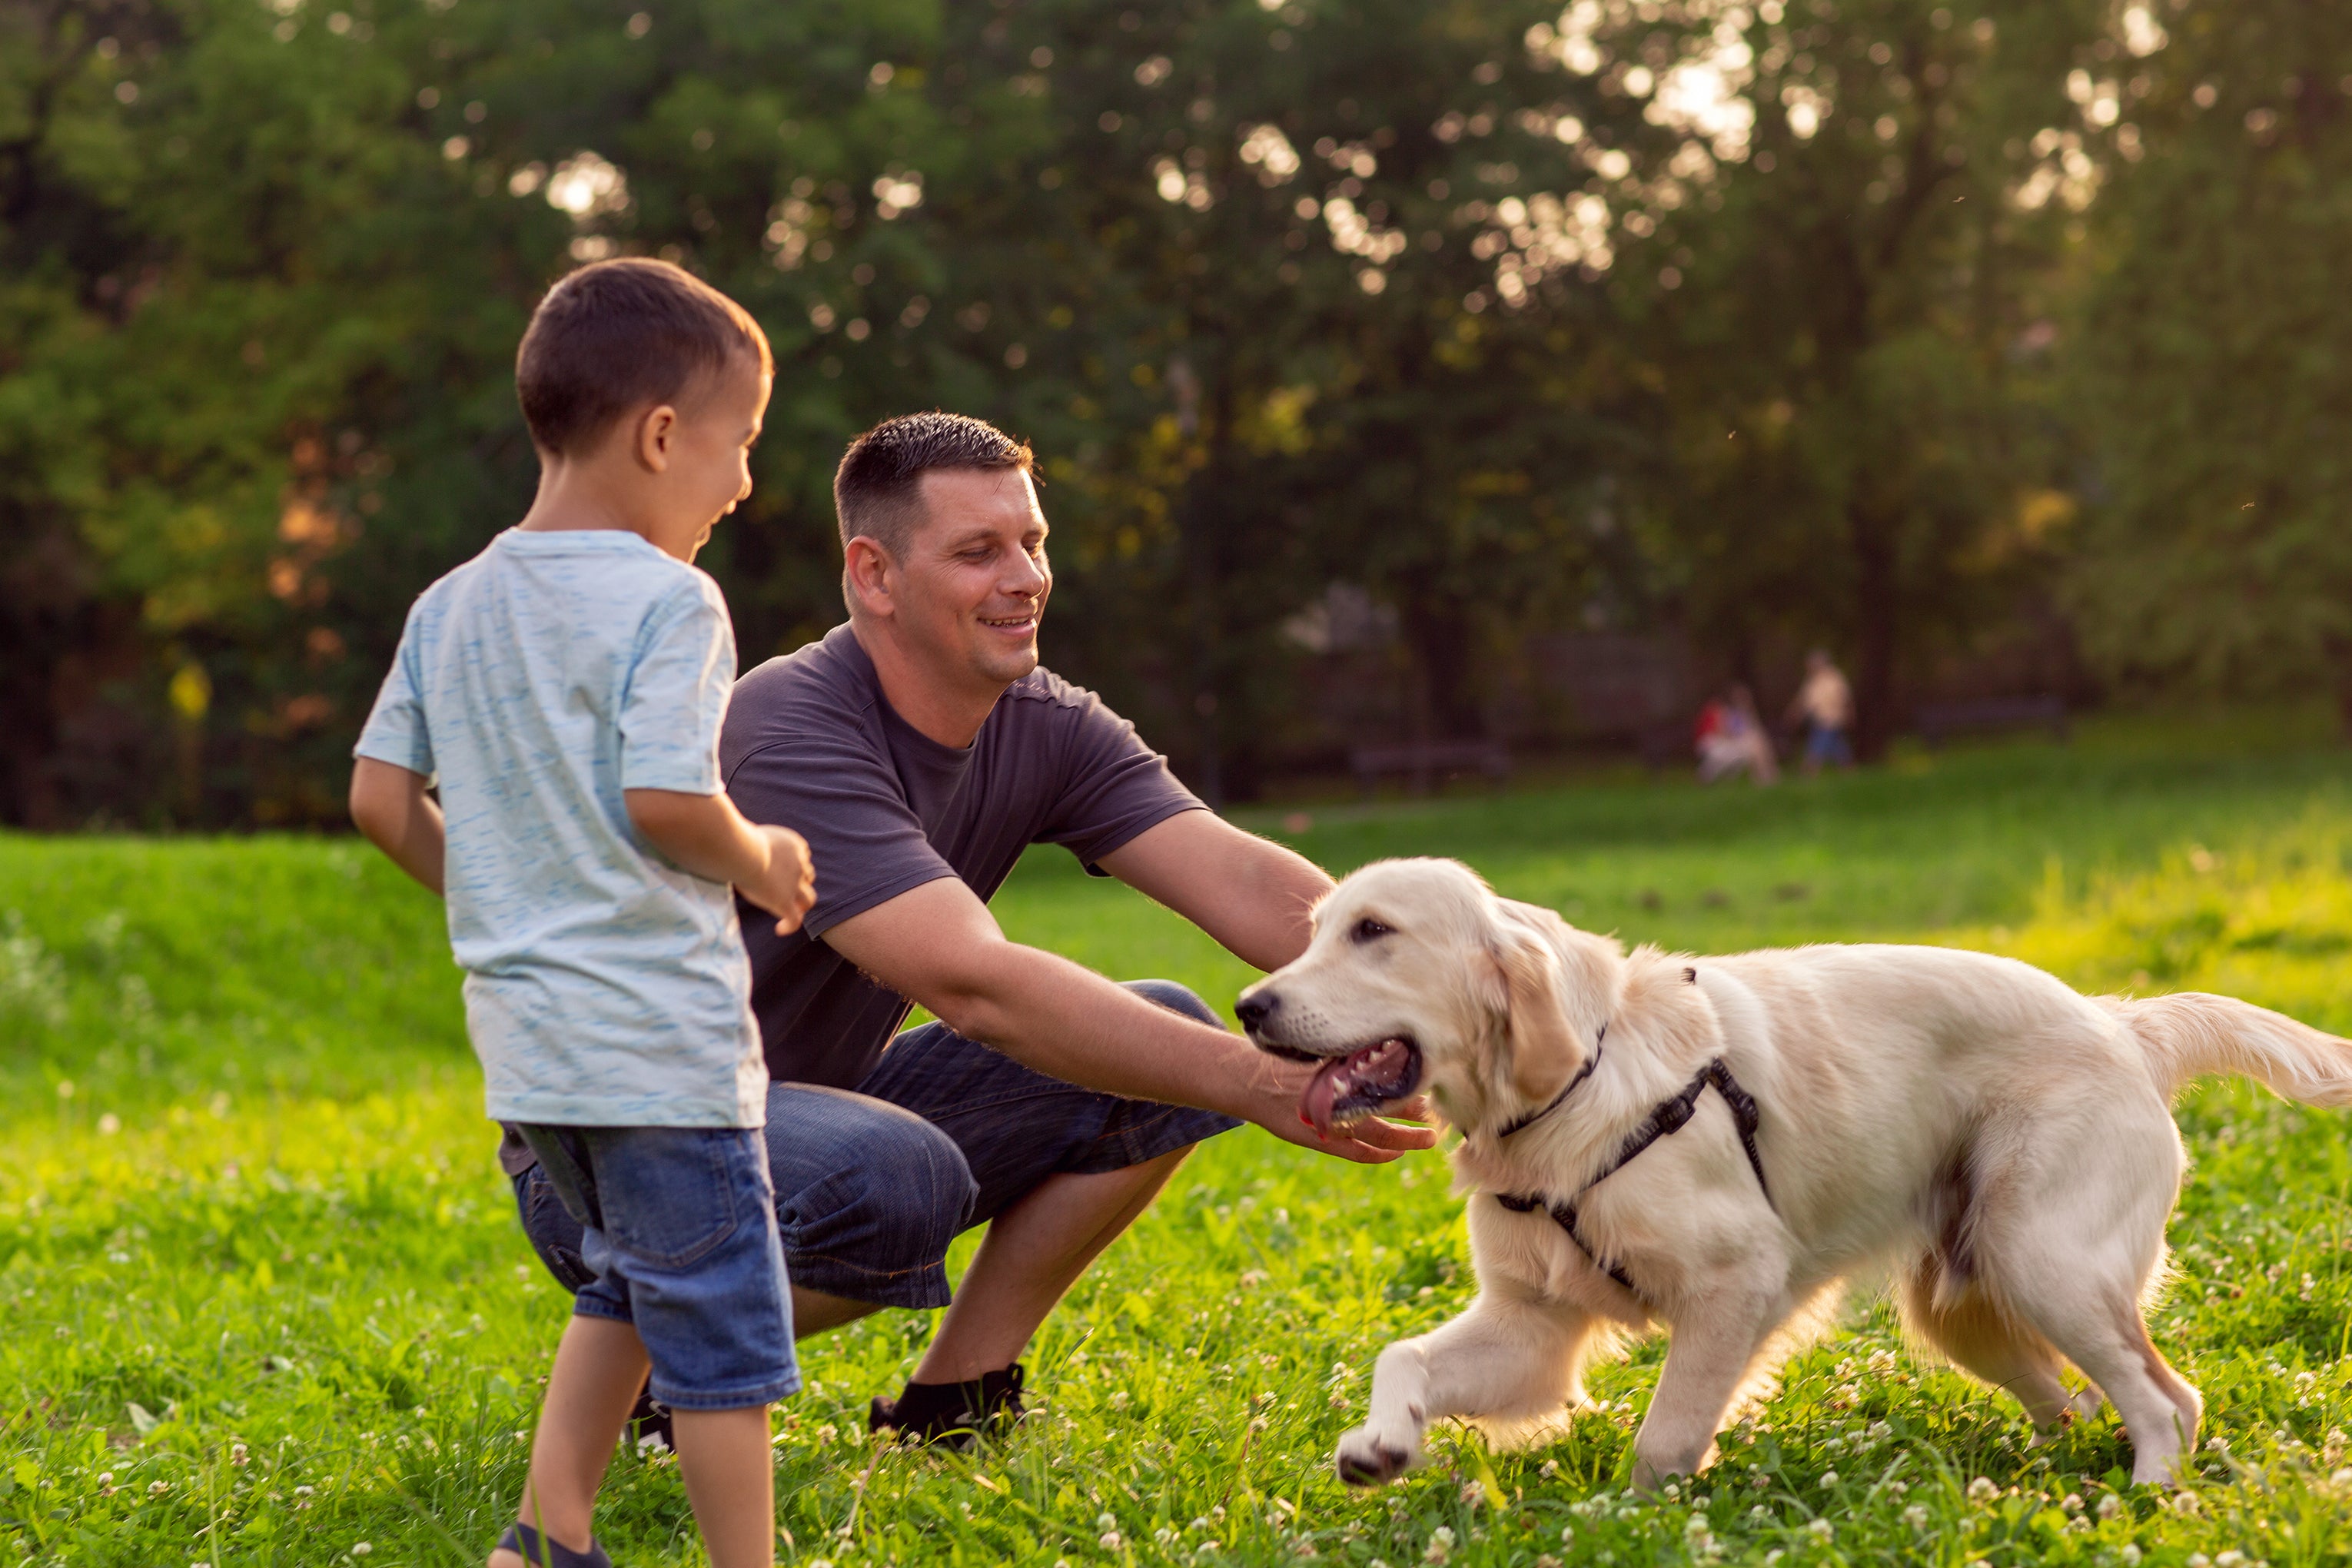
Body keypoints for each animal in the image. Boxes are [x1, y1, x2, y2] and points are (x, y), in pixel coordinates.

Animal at [1232, 865, 2352, 1495]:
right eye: (1317, 927)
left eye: (1375, 932)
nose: (1248, 1007)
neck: (1580, 1085)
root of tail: (2122, 1023)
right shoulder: (1533, 1327)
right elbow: (1403, 1357)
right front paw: (1382, 1444)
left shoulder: (1735, 1288)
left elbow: (1664, 1441)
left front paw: (1638, 1521)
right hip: (1967, 1302)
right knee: (2106, 1401)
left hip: (2046, 1264)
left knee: (2165, 1400)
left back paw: (2151, 1493)